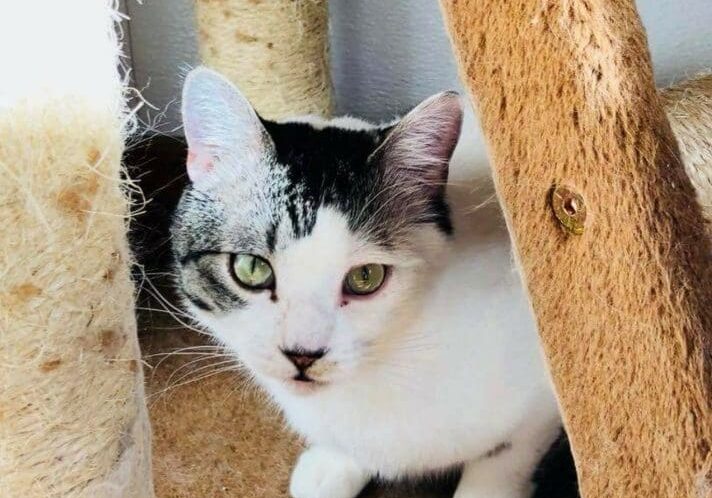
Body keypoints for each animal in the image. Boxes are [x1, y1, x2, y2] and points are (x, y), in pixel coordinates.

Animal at [171, 67, 560, 498]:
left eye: (365, 277)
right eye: (251, 269)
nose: (302, 354)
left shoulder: (542, 394)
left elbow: (503, 460)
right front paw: (333, 465)